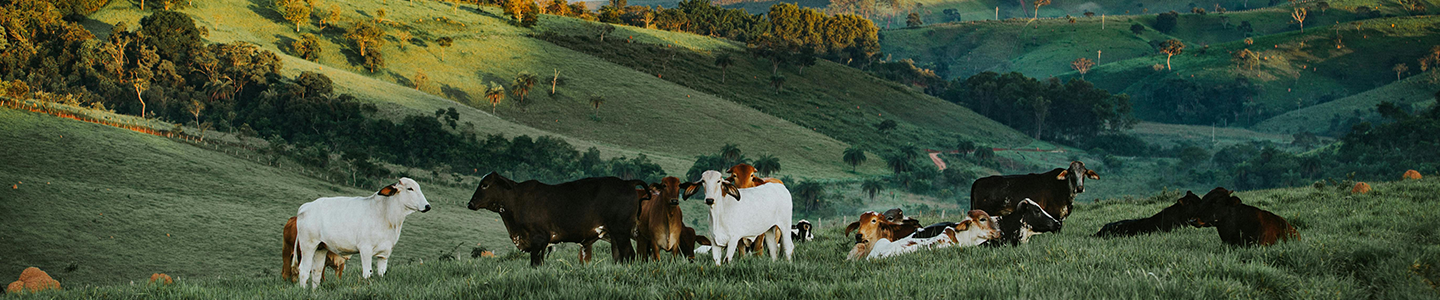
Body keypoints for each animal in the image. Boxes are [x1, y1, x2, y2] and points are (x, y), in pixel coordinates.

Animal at [290, 178, 426, 288]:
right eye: (410, 188)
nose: (427, 206)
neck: (387, 215)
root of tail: (306, 206)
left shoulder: (384, 253)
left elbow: (381, 274)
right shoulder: (365, 249)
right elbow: (367, 273)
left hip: (321, 247)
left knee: (316, 271)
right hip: (308, 245)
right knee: (304, 269)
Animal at [466, 172, 648, 265]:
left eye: (485, 185)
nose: (470, 203)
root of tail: (628, 183)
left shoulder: (538, 239)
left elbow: (535, 262)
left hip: (621, 232)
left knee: (629, 254)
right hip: (615, 235)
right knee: (619, 257)